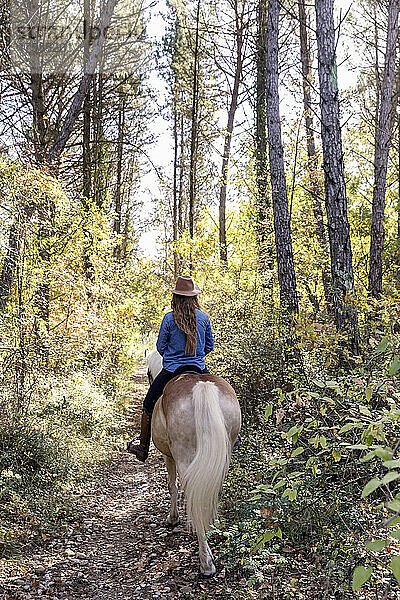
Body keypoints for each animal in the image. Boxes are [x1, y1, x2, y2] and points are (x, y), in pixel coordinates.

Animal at [147, 352, 241, 576]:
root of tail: (202, 386)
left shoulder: (169, 456)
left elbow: (172, 486)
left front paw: (173, 518)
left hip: (183, 454)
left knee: (191, 493)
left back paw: (206, 562)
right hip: (224, 451)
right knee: (213, 489)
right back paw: (213, 526)